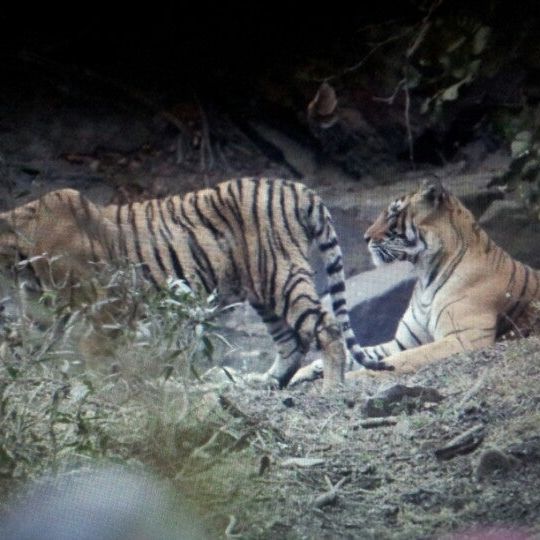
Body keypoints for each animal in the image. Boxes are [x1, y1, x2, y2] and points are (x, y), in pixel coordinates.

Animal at [0, 179, 388, 390]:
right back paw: (267, 383)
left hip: (280, 275)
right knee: (291, 342)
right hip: (262, 289)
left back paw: (332, 387)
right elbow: (21, 346)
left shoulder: (106, 306)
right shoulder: (42, 312)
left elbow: (96, 353)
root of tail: (297, 188)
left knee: (325, 326)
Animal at [346, 179, 540, 378]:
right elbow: (360, 355)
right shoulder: (402, 342)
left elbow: (404, 358)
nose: (365, 237)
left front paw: (351, 378)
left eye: (394, 215)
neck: (425, 274)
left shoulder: (462, 337)